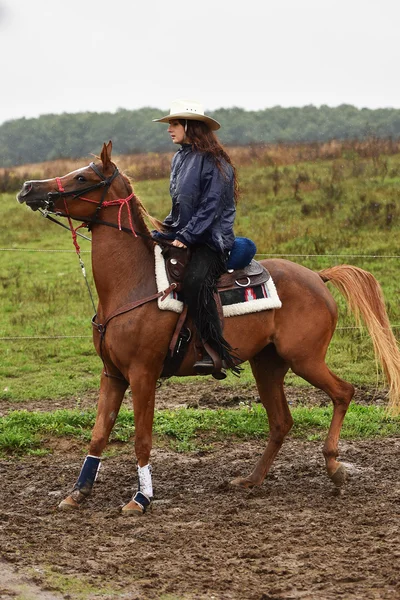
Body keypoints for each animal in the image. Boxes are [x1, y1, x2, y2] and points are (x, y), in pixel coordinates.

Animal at [16, 142, 400, 516]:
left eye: (82, 177)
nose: (28, 188)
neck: (133, 284)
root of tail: (318, 277)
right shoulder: (112, 374)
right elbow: (98, 434)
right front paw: (78, 492)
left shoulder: (142, 374)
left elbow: (142, 438)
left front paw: (141, 498)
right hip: (268, 364)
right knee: (281, 421)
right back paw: (251, 480)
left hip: (305, 359)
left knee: (343, 393)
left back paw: (334, 468)